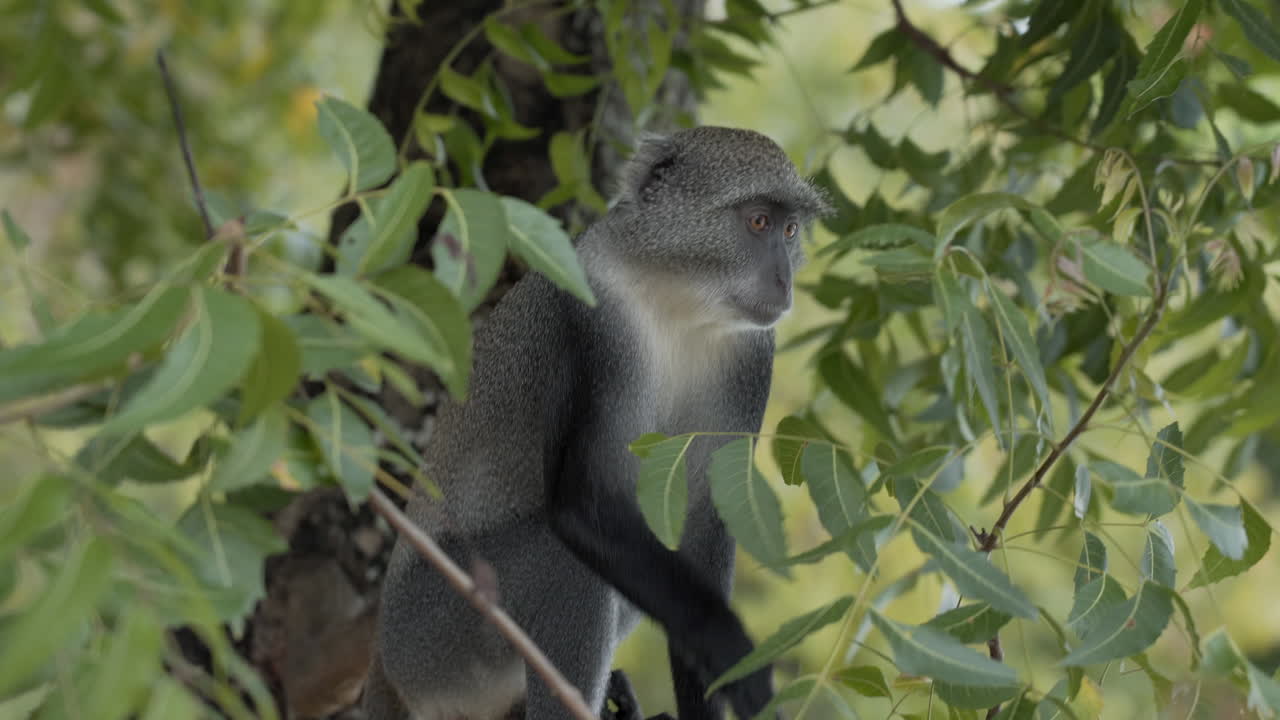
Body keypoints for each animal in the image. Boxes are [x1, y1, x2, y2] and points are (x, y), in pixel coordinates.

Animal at [365, 126, 830, 720]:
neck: (676, 295)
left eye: (790, 229)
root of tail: (384, 661)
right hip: (434, 634)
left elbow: (703, 526)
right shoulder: (594, 318)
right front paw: (731, 649)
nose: (783, 280)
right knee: (567, 566)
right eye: (757, 222)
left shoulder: (751, 354)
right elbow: (585, 504)